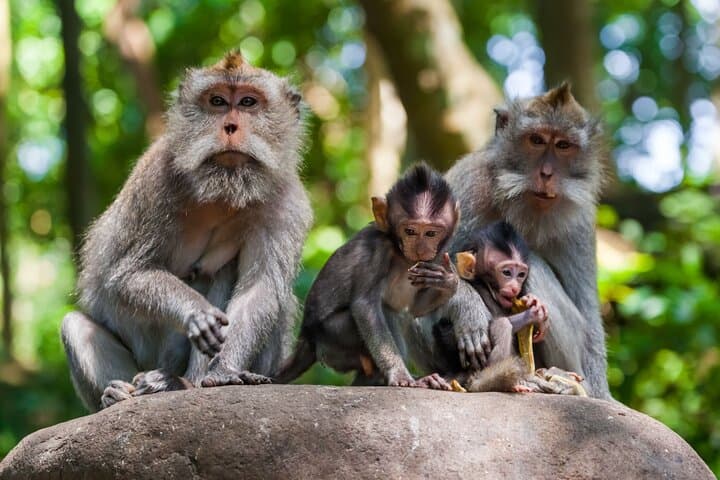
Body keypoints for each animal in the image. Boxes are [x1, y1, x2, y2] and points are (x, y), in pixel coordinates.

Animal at [60, 51, 312, 411]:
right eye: (217, 101)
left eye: (248, 102)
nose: (230, 126)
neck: (223, 189)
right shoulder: (155, 179)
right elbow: (128, 274)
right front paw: (196, 312)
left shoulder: (287, 205)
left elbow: (260, 289)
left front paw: (222, 371)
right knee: (76, 326)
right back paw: (118, 394)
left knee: (231, 276)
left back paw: (179, 383)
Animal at [273, 163, 458, 390]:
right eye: (410, 231)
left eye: (431, 233)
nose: (421, 248)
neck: (399, 252)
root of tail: (307, 338)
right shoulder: (376, 251)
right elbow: (364, 306)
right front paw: (399, 374)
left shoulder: (436, 258)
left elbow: (416, 309)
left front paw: (448, 281)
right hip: (332, 338)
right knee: (384, 311)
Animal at [415, 82, 610, 399]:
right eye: (536, 140)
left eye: (563, 146)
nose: (547, 173)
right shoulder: (467, 185)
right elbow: (422, 267)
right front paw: (469, 310)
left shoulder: (580, 220)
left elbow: (588, 313)